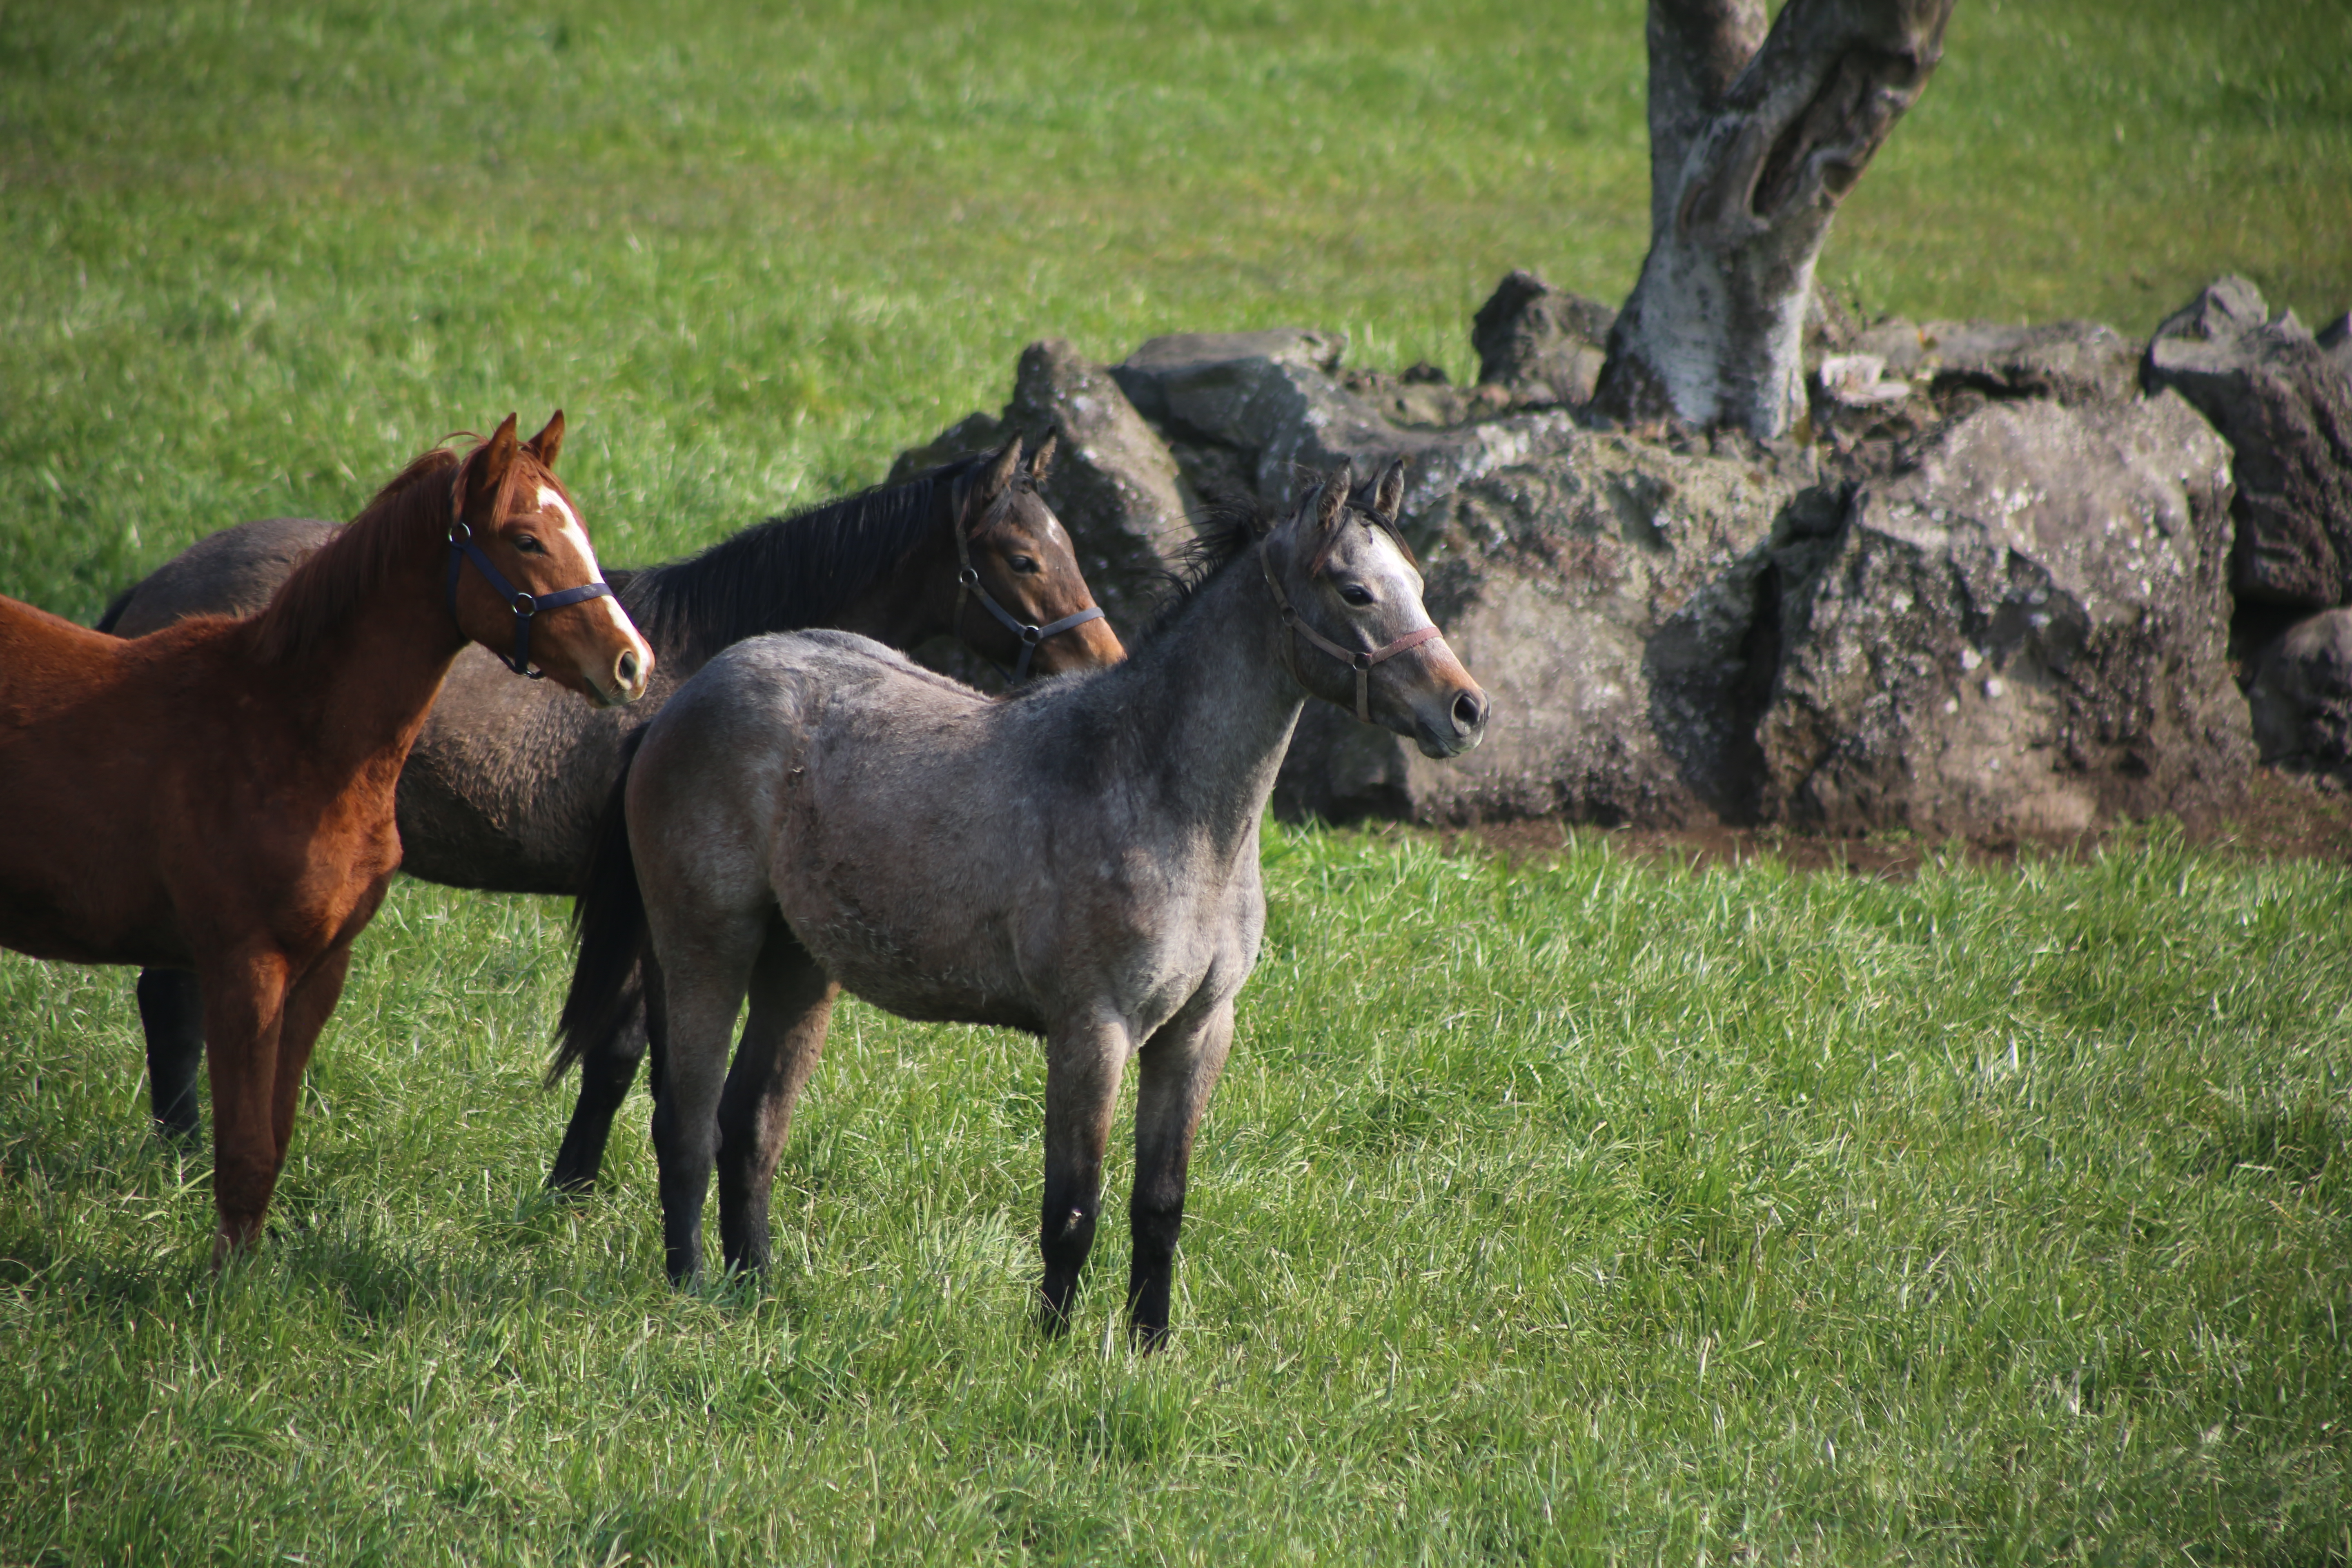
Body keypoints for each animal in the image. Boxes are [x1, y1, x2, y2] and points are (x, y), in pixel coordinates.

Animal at [0, 411, 649, 1260]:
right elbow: (244, 1150)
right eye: (527, 539)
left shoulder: (319, 970)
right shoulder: (245, 966)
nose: (632, 663)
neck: (292, 733)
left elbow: (272, 1142)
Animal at [550, 461, 1486, 1345]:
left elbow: (1160, 1205)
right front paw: (1051, 1350)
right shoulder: (1092, 1032)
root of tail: (682, 699)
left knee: (750, 1127)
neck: (1163, 795)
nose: (1465, 709)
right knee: (686, 1121)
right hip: (706, 947)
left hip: (798, 968)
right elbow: (1073, 1209)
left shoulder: (1196, 1033)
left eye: (1417, 582)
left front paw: (1151, 1350)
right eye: (1356, 590)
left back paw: (756, 1293)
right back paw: (692, 1292)